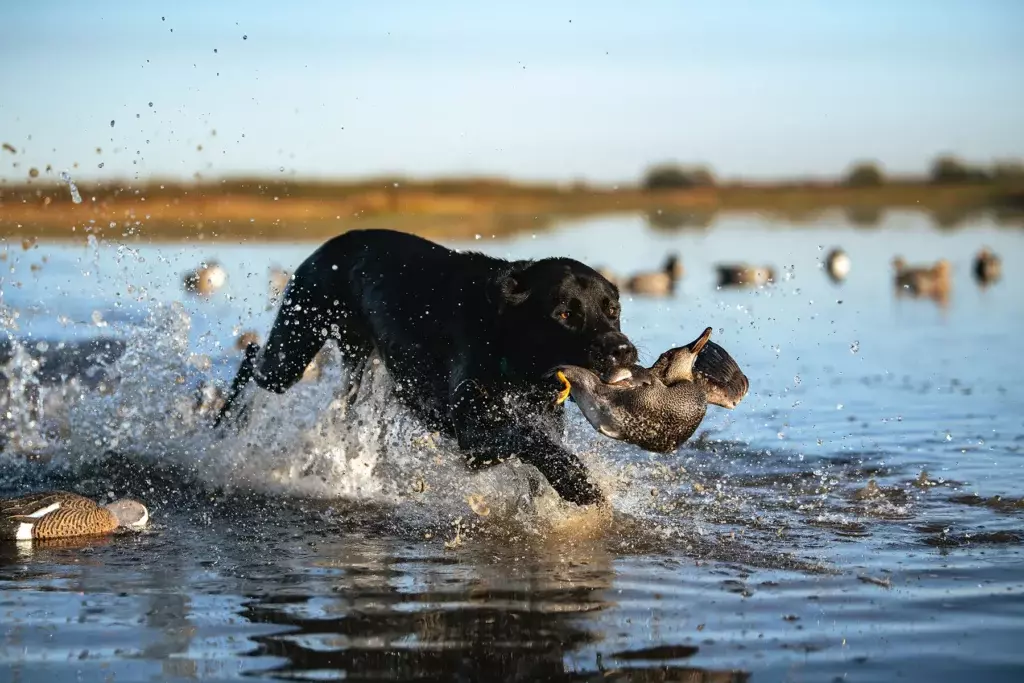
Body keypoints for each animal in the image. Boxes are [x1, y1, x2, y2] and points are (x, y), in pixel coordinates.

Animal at [216, 229, 634, 507]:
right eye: (564, 314)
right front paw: (577, 483)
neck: (503, 336)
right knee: (252, 357)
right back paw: (223, 424)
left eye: (612, 309)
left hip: (355, 363)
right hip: (292, 350)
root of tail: (331, 243)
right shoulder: (472, 434)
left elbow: (537, 456)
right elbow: (529, 439)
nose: (624, 351)